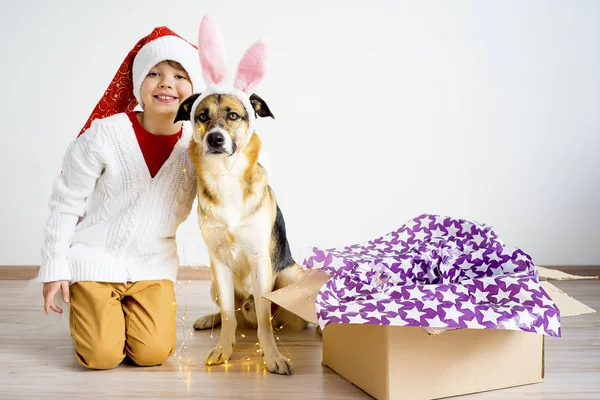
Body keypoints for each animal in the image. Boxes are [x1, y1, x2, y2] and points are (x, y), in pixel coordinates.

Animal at [172, 91, 304, 376]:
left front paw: (272, 356)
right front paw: (223, 348)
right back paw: (209, 320)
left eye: (233, 115)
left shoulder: (260, 262)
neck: (225, 176)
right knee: (231, 313)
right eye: (202, 116)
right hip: (214, 282)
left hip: (290, 276)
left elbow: (264, 322)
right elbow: (227, 314)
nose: (215, 138)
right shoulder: (218, 262)